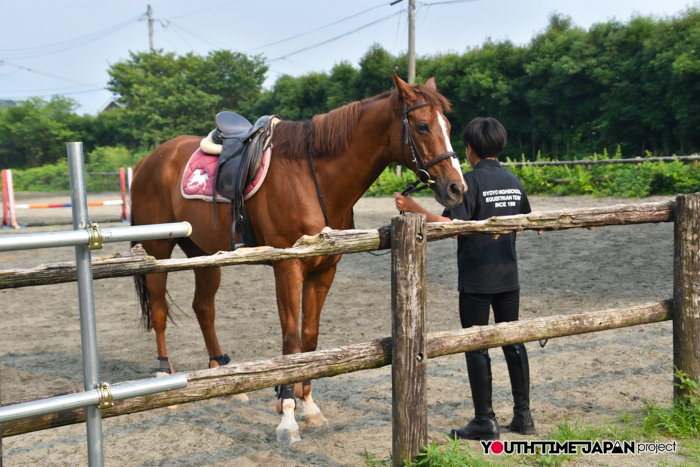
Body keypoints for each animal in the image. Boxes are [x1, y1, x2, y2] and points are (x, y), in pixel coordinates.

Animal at [129, 71, 466, 444]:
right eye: (422, 126)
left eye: (448, 125)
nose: (457, 188)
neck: (312, 176)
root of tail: (150, 160)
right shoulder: (287, 267)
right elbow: (291, 341)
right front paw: (287, 414)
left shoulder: (324, 270)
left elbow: (310, 337)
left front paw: (307, 403)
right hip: (158, 251)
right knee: (159, 310)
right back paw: (164, 378)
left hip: (203, 255)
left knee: (203, 308)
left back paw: (221, 370)